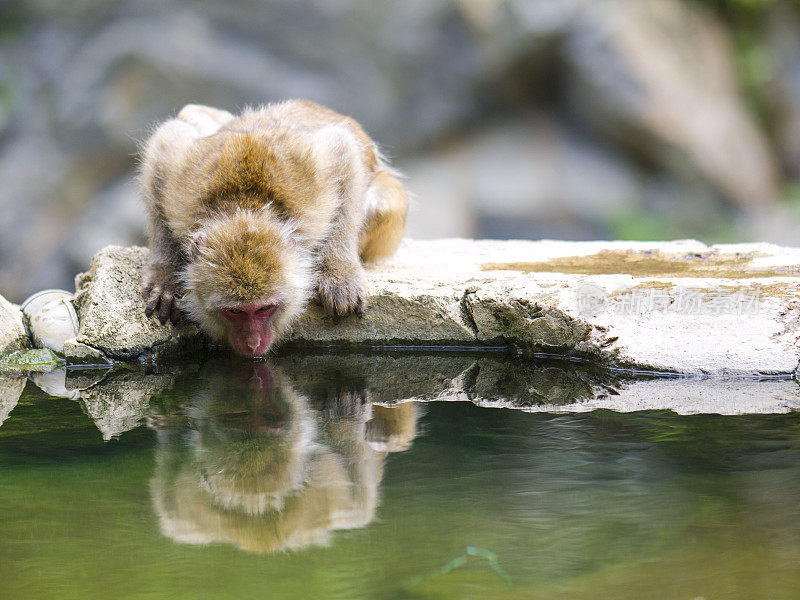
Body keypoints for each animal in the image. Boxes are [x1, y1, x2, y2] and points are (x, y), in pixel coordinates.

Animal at [137, 101, 406, 356]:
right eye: (235, 311)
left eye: (265, 308)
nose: (253, 343)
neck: (245, 206)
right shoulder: (181, 185)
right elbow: (164, 144)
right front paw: (166, 276)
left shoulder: (315, 185)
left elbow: (343, 151)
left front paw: (340, 274)